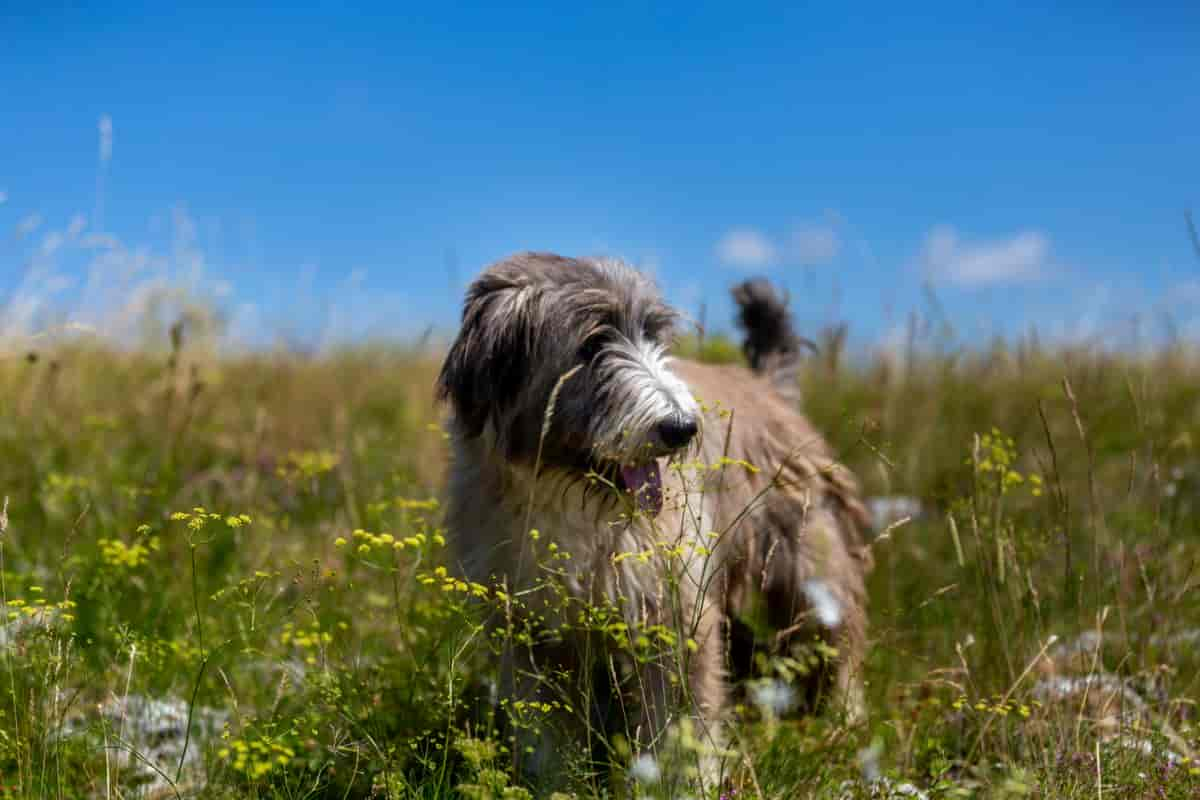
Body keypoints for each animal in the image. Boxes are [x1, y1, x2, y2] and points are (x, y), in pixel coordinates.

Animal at [436, 255, 868, 782]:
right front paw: (556, 783)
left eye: (652, 336)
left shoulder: (675, 614)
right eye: (592, 344)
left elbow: (686, 719)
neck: (566, 497)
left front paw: (689, 782)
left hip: (810, 570)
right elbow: (548, 729)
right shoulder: (530, 632)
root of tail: (768, 387)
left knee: (840, 644)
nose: (682, 428)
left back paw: (845, 722)